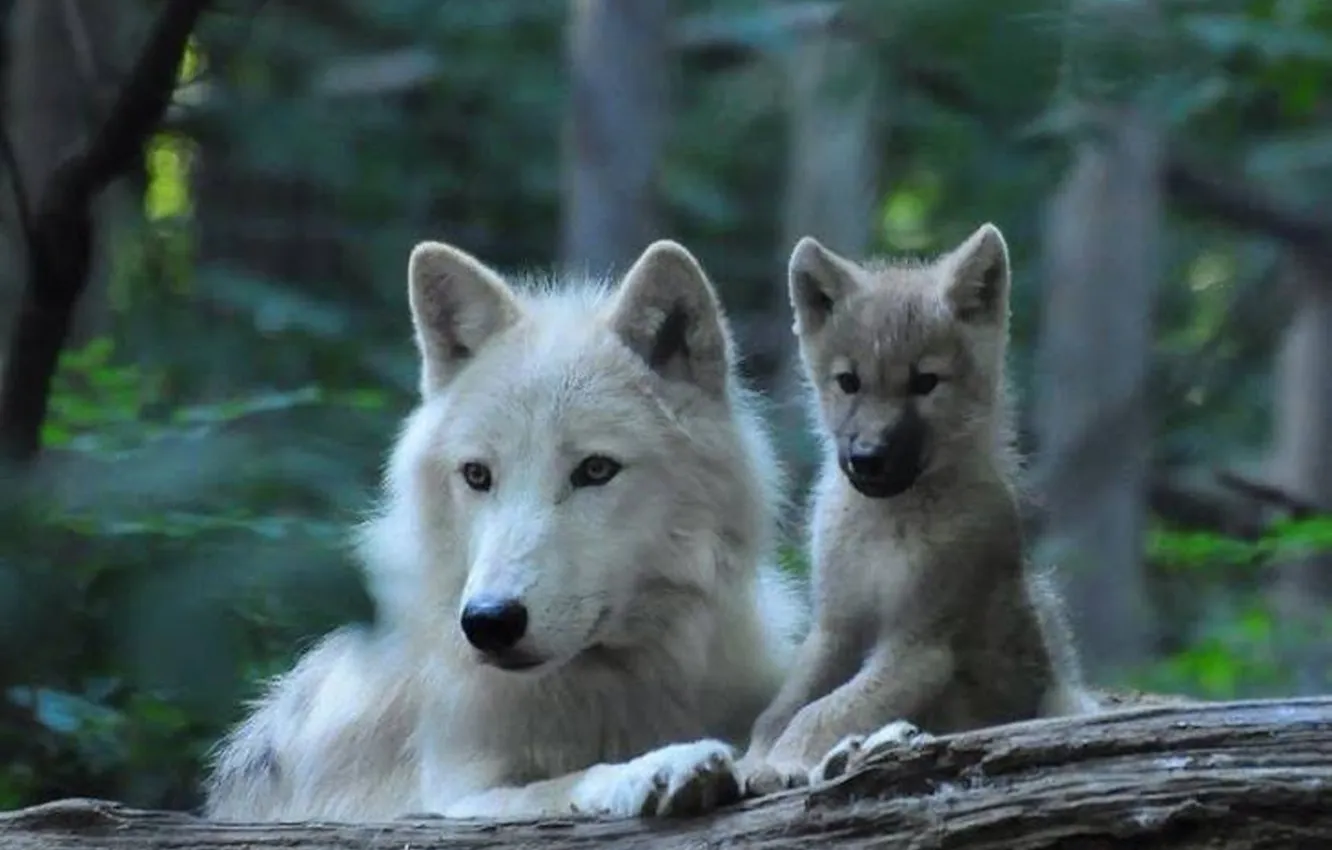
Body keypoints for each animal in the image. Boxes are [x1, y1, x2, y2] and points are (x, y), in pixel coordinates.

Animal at [204, 238, 805, 821]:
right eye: (477, 475)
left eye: (595, 470)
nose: (489, 622)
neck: (615, 687)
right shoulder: (453, 799)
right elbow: (565, 781)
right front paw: (659, 767)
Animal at [738, 223, 1095, 793]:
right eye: (849, 382)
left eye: (925, 382)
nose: (867, 459)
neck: (887, 526)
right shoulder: (834, 629)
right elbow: (782, 709)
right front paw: (754, 761)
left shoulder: (919, 646)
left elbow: (823, 711)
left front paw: (783, 763)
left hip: (1064, 697)